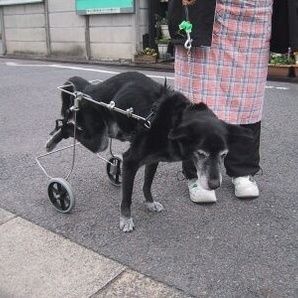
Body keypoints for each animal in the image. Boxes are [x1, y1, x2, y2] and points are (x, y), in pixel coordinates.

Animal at [46, 71, 250, 232]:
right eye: (201, 154)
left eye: (224, 155)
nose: (215, 185)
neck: (172, 122)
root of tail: (90, 88)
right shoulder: (130, 161)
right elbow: (127, 196)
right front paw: (126, 219)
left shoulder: (153, 160)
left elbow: (146, 185)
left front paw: (149, 203)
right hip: (98, 140)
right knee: (67, 125)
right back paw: (52, 141)